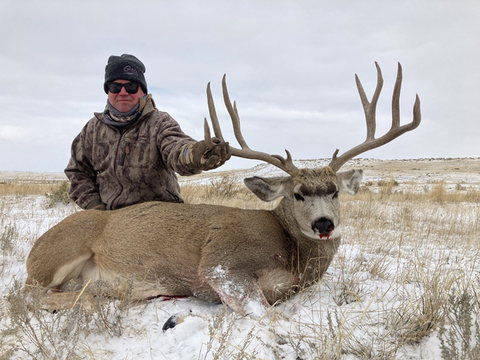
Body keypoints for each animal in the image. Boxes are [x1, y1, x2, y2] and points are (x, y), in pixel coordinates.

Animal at [25, 62, 420, 316]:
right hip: (60, 252)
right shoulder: (220, 263)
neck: (291, 253)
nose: (324, 224)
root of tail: (35, 251)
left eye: (335, 191)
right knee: (30, 293)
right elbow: (267, 314)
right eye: (297, 194)